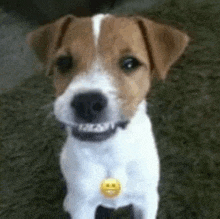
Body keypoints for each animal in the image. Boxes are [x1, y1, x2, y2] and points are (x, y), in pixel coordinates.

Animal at [27, 12, 189, 218]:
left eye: (130, 63)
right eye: (63, 62)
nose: (87, 102)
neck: (109, 151)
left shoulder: (147, 200)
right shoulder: (83, 207)